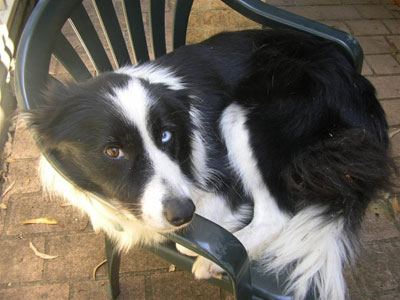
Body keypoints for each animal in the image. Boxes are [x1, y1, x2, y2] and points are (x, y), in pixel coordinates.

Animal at [23, 28, 396, 300]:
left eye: (166, 136)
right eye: (113, 151)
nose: (183, 213)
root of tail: (362, 93)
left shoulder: (219, 182)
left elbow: (184, 235)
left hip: (245, 115)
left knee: (275, 214)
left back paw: (210, 261)